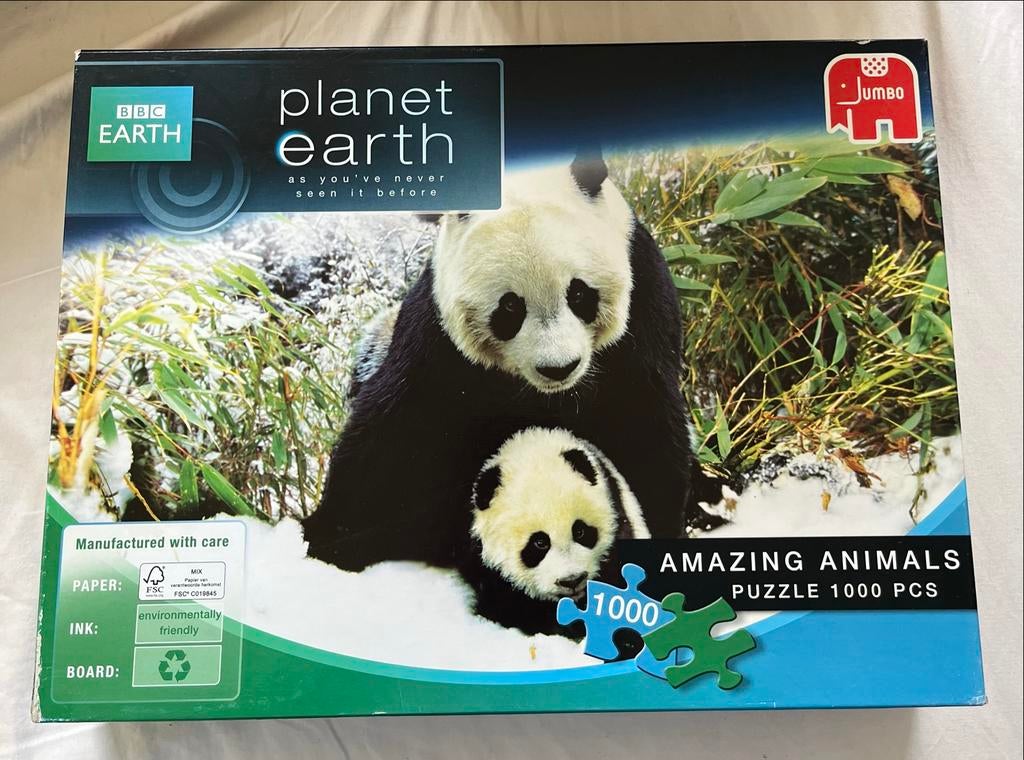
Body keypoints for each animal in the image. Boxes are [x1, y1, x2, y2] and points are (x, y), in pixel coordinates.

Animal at [303, 151, 723, 571]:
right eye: (509, 307)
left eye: (579, 294)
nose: (559, 367)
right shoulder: (438, 341)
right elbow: (393, 436)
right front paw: (331, 536)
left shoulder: (641, 310)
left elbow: (642, 425)